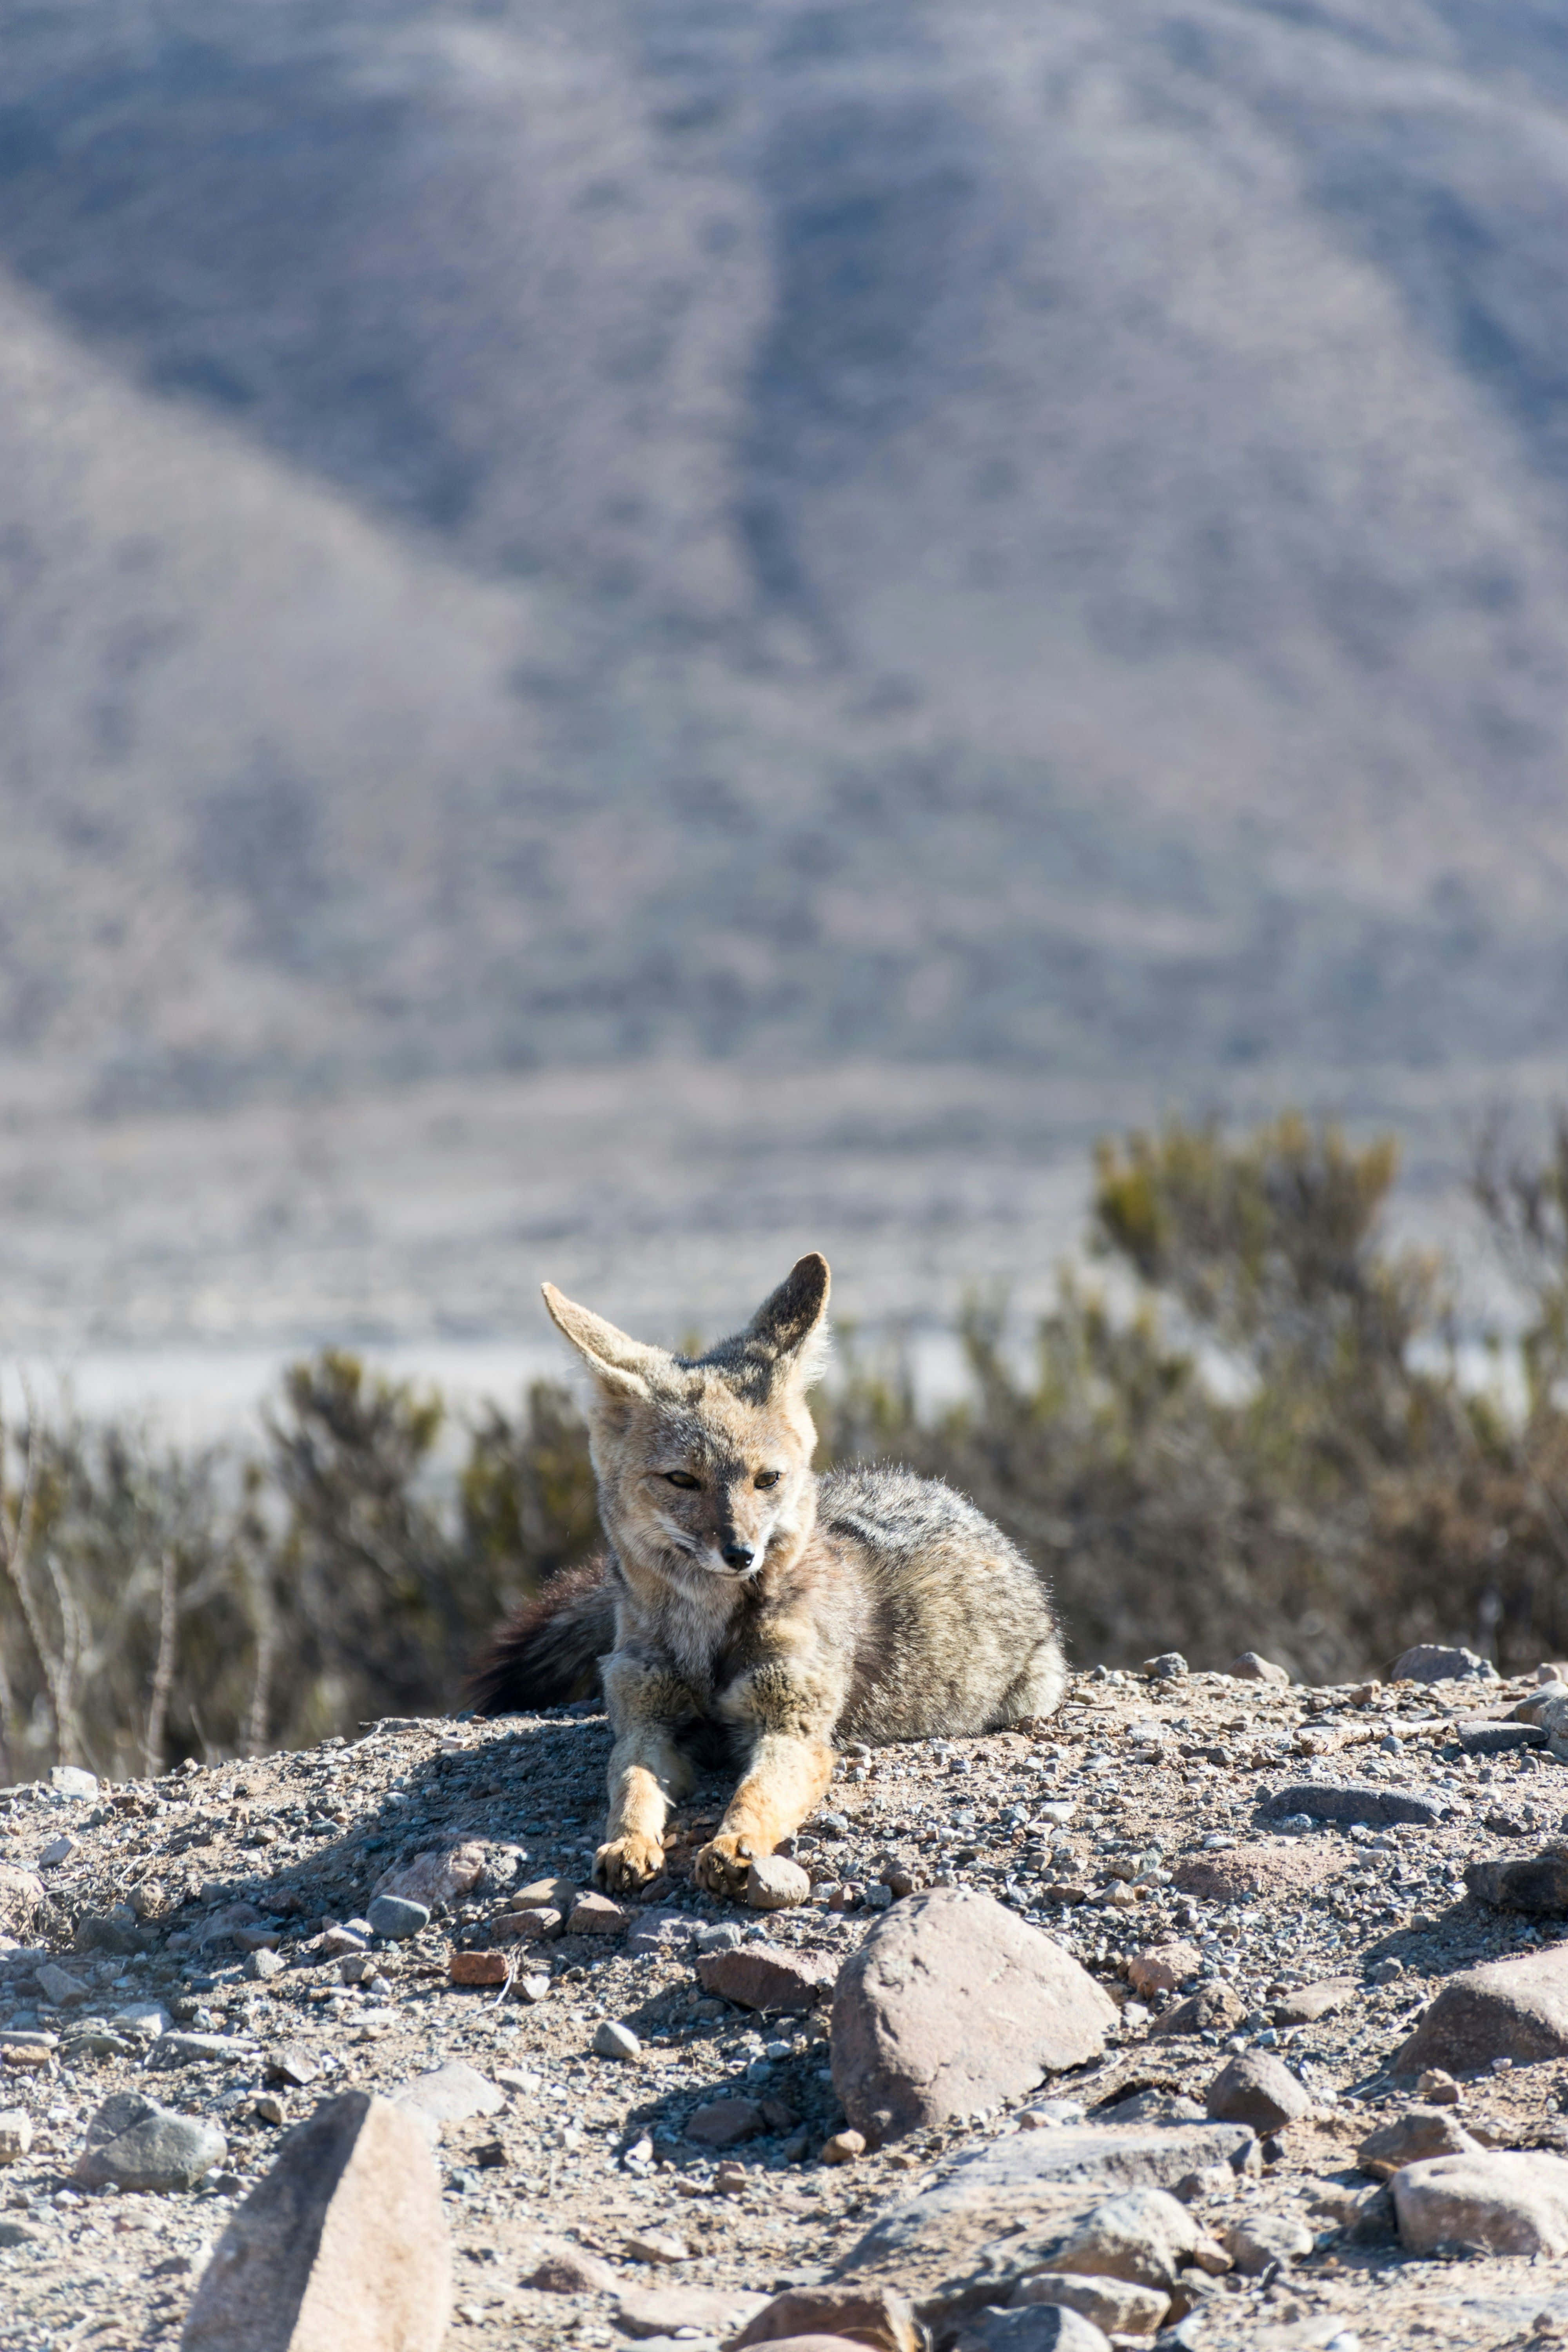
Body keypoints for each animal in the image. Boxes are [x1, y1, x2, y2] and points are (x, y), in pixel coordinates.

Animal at [469, 1253, 1067, 1898]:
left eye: (767, 1480)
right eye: (683, 1480)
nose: (741, 1554)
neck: (706, 1635)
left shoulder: (791, 1728)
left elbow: (755, 1793)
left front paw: (735, 1843)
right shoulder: (646, 1722)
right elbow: (630, 1786)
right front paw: (627, 1843)